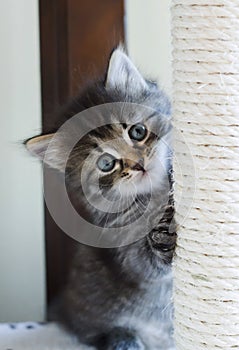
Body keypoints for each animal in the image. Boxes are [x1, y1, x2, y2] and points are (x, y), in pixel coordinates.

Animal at [25, 47, 176, 350]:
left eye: (137, 132)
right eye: (106, 163)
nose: (138, 165)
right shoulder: (125, 250)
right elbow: (151, 264)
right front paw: (164, 232)